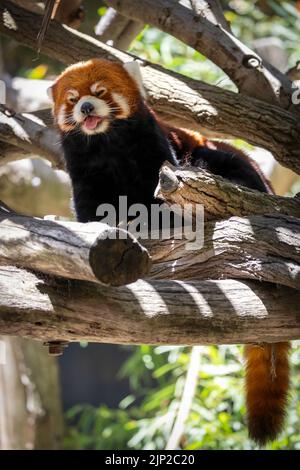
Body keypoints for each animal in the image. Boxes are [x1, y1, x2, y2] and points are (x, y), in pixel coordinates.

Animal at [49, 57, 290, 446]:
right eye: (72, 99)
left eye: (99, 92)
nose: (86, 107)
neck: (106, 143)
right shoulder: (83, 168)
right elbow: (90, 207)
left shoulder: (153, 146)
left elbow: (159, 192)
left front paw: (149, 219)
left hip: (226, 159)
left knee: (216, 161)